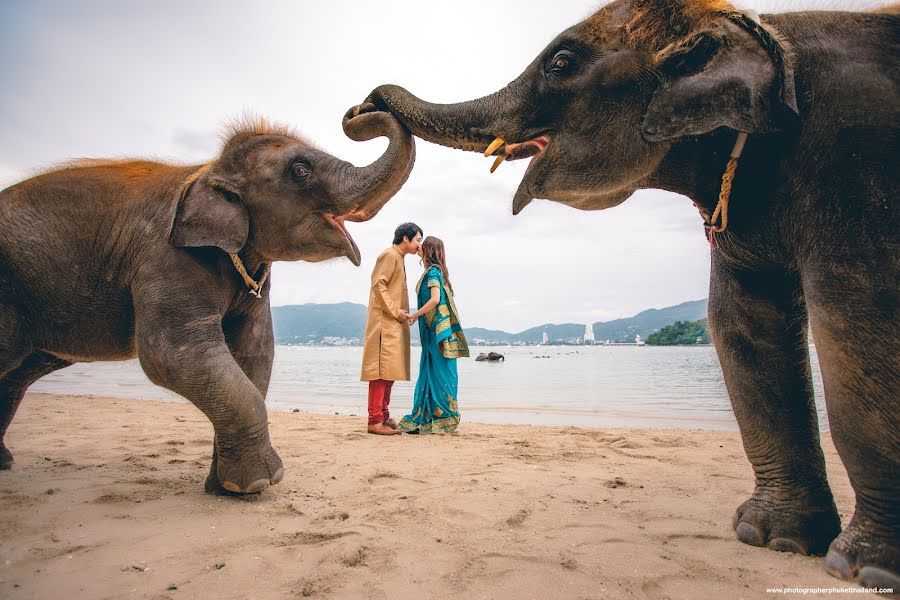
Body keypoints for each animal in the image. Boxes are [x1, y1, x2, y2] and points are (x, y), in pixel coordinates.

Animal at [0, 110, 414, 494]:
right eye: (300, 171)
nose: (361, 109)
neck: (207, 170)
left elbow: (254, 352)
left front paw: (226, 488)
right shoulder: (166, 257)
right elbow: (169, 354)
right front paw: (258, 483)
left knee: (21, 372)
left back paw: (4, 462)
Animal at [350, 0, 900, 592]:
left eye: (561, 62)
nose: (362, 107)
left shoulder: (856, 161)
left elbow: (855, 314)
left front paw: (865, 568)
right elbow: (739, 321)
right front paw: (773, 539)